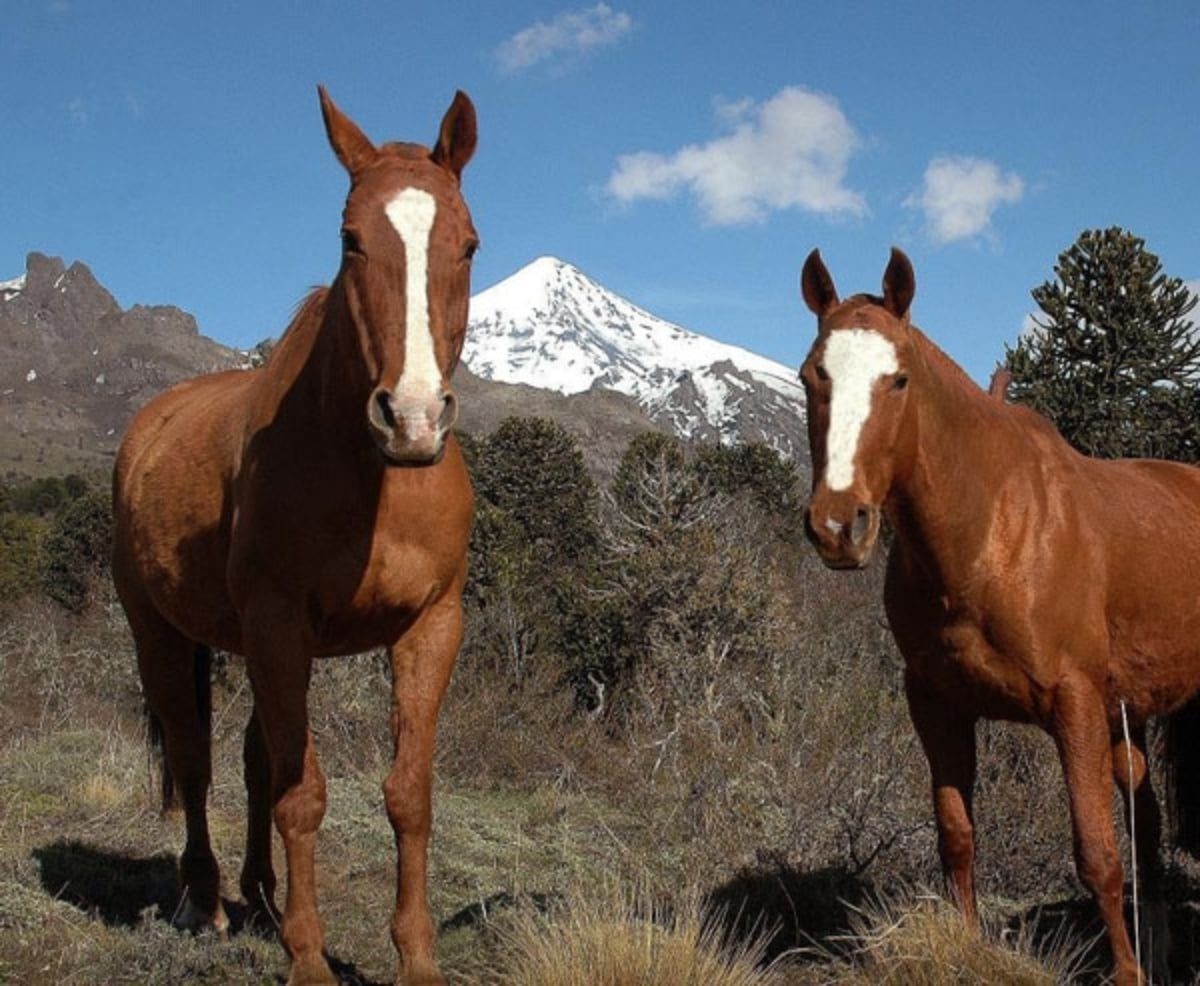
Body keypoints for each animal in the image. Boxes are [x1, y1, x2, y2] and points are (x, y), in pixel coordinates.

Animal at [111, 87, 478, 986]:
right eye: (351, 239)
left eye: (469, 244)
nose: (413, 417)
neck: (370, 471)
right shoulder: (280, 627)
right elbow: (301, 795)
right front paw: (309, 961)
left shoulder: (430, 627)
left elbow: (406, 793)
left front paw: (415, 956)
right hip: (160, 634)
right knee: (195, 758)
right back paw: (205, 902)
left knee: (250, 761)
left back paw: (261, 896)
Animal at [798, 247, 1200, 985]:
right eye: (813, 374)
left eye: (899, 380)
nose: (839, 525)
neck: (987, 532)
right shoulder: (937, 703)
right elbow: (958, 837)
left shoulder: (1074, 705)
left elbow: (1097, 855)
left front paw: (1126, 974)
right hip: (1132, 711)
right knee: (1149, 822)